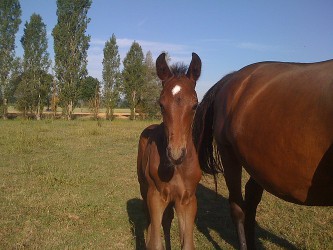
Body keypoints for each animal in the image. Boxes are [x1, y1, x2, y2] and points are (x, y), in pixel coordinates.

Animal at [136, 51, 201, 249]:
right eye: (161, 104)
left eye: (195, 105)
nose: (175, 154)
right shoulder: (156, 196)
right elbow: (155, 243)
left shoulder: (187, 200)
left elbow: (187, 244)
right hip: (144, 188)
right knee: (150, 220)